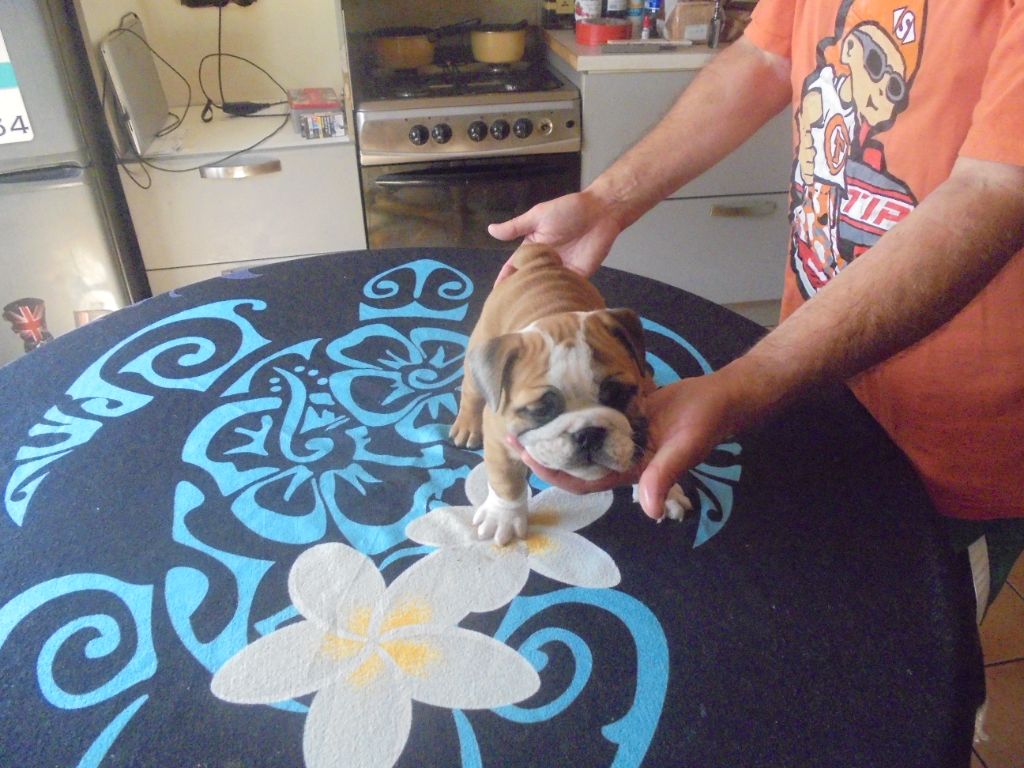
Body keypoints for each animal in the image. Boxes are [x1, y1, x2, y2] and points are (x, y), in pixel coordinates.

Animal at [450, 242, 692, 545]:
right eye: (541, 410)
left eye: (618, 395)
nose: (588, 433)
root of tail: (539, 261)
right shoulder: (499, 438)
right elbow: (507, 480)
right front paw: (502, 516)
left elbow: (651, 454)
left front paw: (665, 491)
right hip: (479, 351)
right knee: (471, 393)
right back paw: (467, 427)